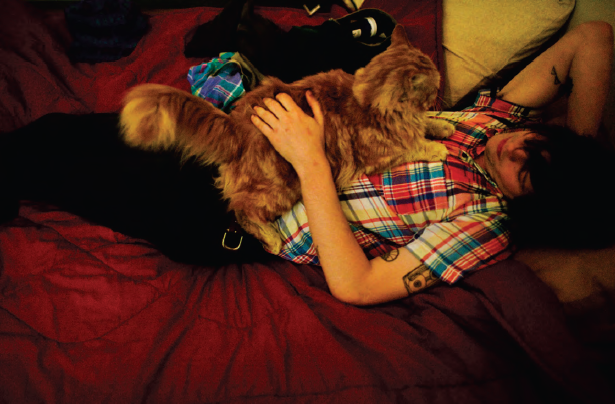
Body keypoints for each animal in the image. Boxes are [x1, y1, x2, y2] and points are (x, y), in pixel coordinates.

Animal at [120, 25, 454, 254]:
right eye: (436, 82)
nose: (441, 89)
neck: (367, 101)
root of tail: (234, 125)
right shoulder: (383, 155)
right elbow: (414, 145)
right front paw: (437, 146)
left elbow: (426, 123)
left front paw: (442, 127)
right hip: (281, 189)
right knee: (240, 210)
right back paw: (271, 239)